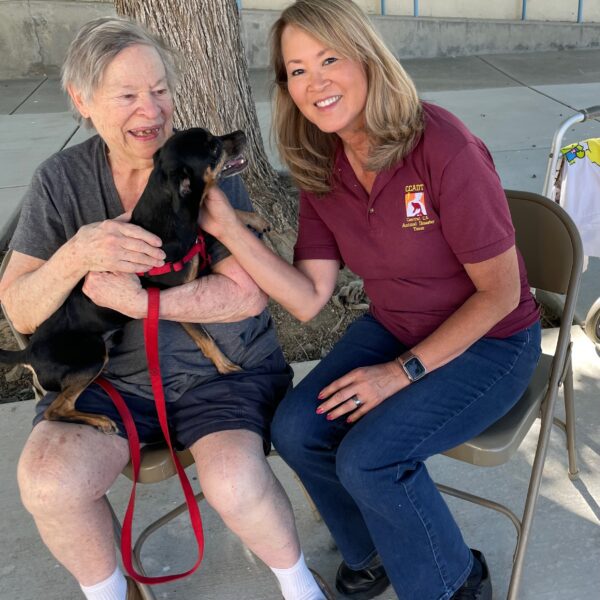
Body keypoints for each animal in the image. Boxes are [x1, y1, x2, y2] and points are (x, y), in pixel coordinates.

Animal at [0, 129, 268, 434]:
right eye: (213, 147)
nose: (242, 133)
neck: (172, 211)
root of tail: (28, 352)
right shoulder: (180, 294)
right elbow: (206, 339)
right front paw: (225, 366)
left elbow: (221, 221)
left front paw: (253, 219)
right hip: (92, 356)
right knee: (55, 410)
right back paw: (100, 420)